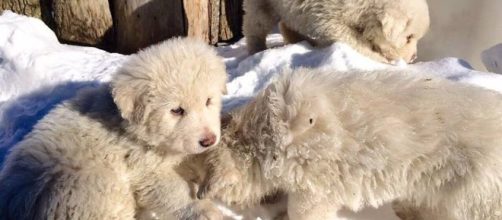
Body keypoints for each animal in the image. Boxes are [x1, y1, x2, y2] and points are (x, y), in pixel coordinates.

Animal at [243, 0, 428, 63]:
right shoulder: (329, 14)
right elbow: (347, 37)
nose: (414, 57)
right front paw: (382, 59)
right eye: (408, 37)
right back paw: (257, 49)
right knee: (256, 23)